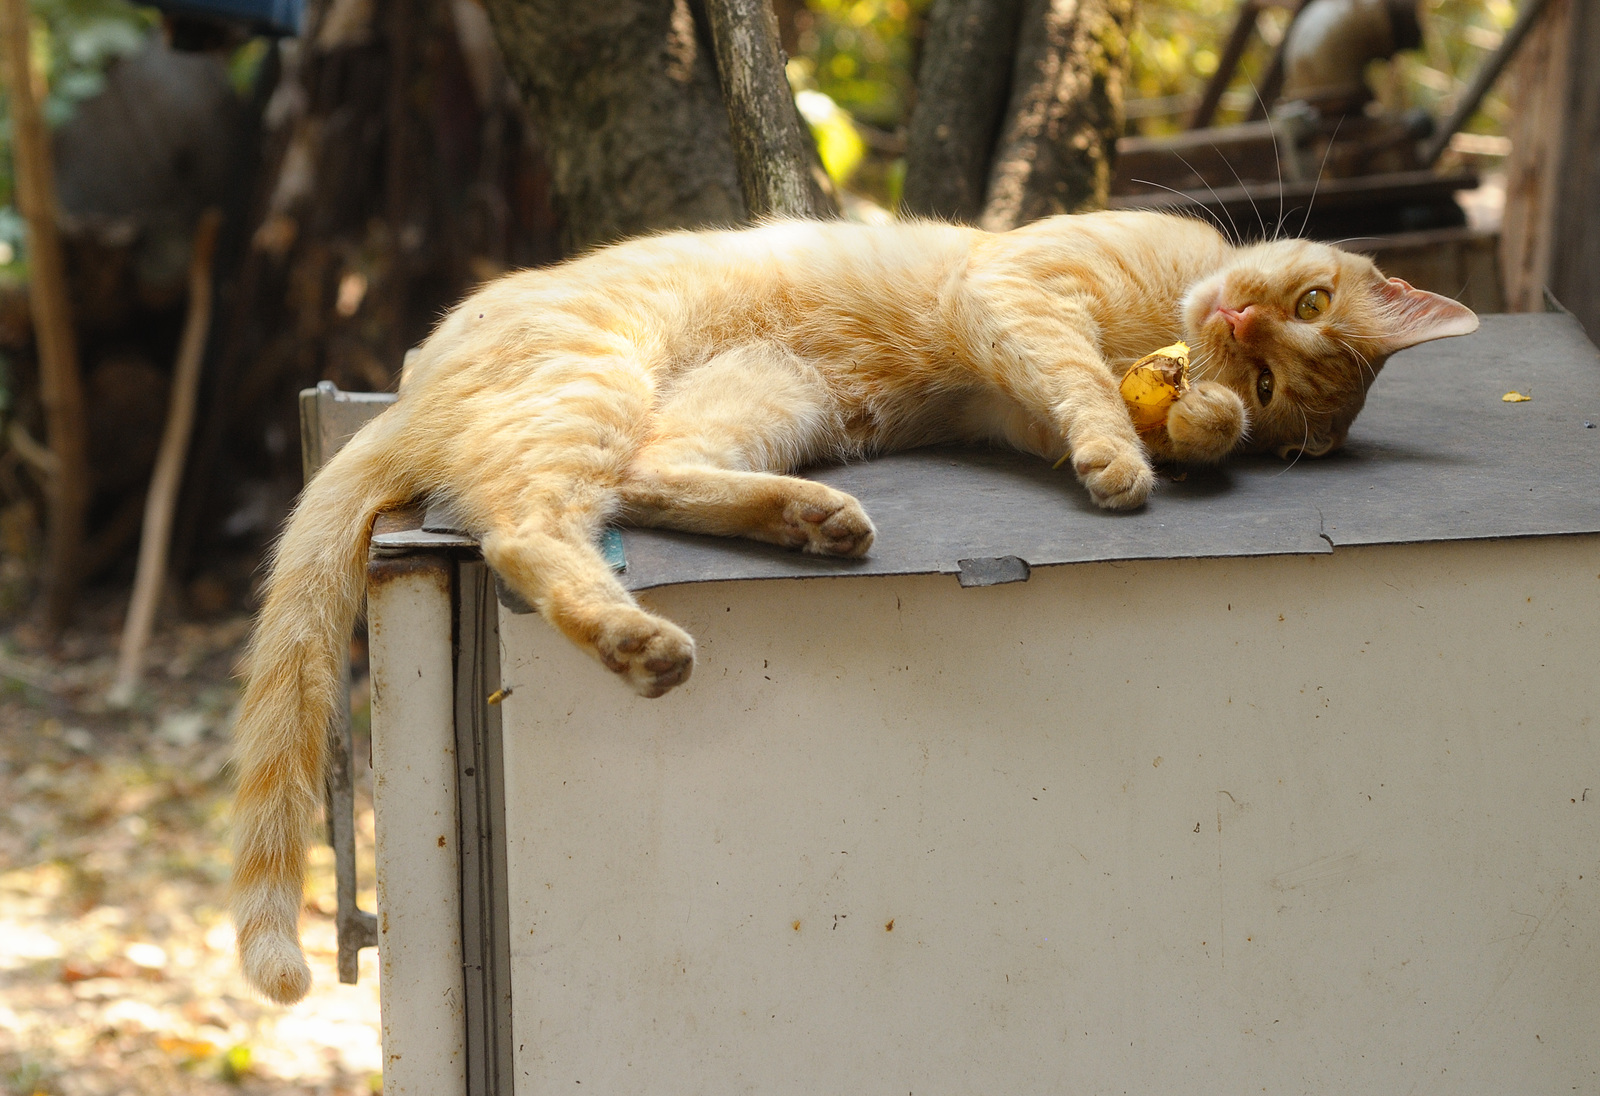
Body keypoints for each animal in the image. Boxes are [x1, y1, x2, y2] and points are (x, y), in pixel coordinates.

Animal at [225, 208, 1472, 998]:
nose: (1246, 331)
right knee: (530, 526)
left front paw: (1194, 418)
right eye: (1304, 296)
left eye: (1278, 370)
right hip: (598, 385)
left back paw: (807, 525)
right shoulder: (1018, 296)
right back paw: (647, 640)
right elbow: (1082, 383)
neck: (1153, 320)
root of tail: (407, 395)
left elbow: (1162, 420)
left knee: (639, 481)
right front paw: (1129, 454)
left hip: (765, 392)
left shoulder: (1017, 403)